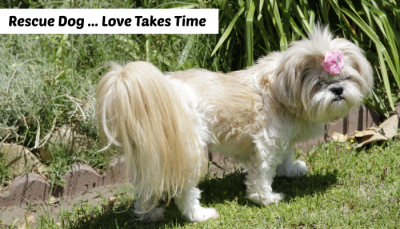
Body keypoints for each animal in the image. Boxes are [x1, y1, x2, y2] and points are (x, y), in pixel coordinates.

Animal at [95, 26, 374, 222]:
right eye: (319, 84)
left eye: (347, 78)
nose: (337, 89)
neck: (281, 90)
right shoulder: (266, 143)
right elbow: (262, 175)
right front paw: (266, 198)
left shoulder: (281, 139)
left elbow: (285, 154)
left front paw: (291, 169)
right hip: (189, 152)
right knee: (185, 191)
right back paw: (199, 215)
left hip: (154, 154)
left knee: (146, 188)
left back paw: (148, 214)